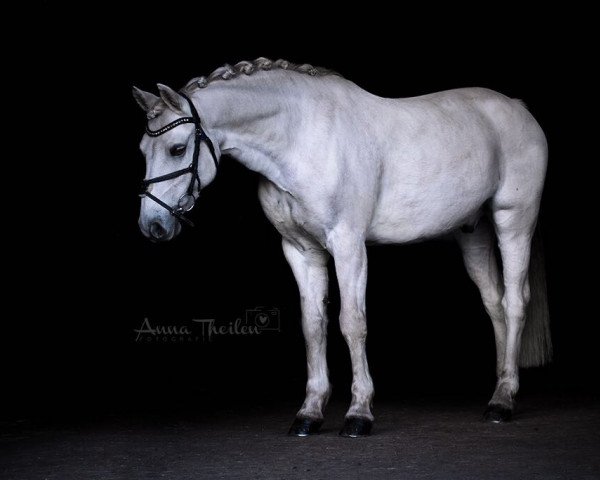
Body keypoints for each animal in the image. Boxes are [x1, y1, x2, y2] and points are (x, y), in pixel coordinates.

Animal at [134, 58, 552, 436]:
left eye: (176, 149)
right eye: (142, 149)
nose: (152, 226)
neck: (302, 137)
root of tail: (517, 107)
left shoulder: (349, 244)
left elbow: (352, 323)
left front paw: (359, 413)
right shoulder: (300, 251)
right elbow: (313, 325)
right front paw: (309, 413)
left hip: (514, 222)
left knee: (514, 302)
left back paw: (503, 402)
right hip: (473, 234)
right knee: (494, 303)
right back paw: (499, 387)